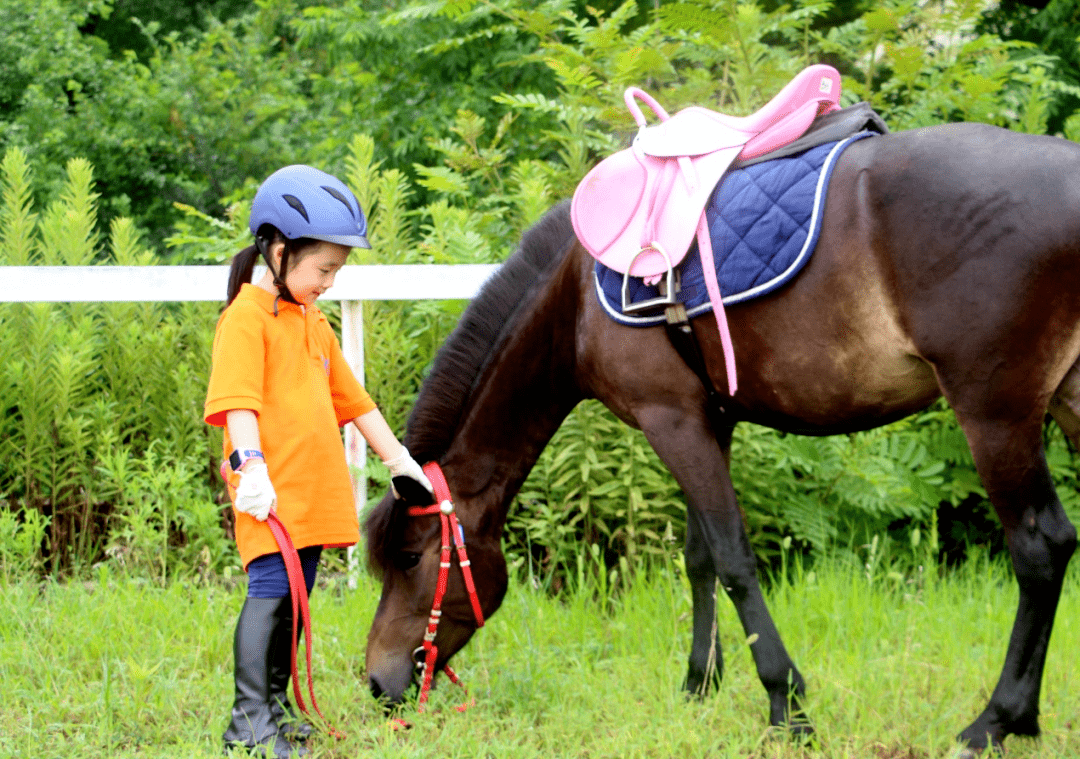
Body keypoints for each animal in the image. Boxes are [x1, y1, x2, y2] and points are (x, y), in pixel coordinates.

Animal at [365, 122, 1080, 751]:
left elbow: (734, 559)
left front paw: (785, 705)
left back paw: (997, 721)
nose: (377, 682)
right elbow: (700, 557)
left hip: (995, 413)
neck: (572, 302)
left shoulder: (671, 420)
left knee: (1041, 548)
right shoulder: (707, 419)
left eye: (409, 559)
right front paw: (698, 685)